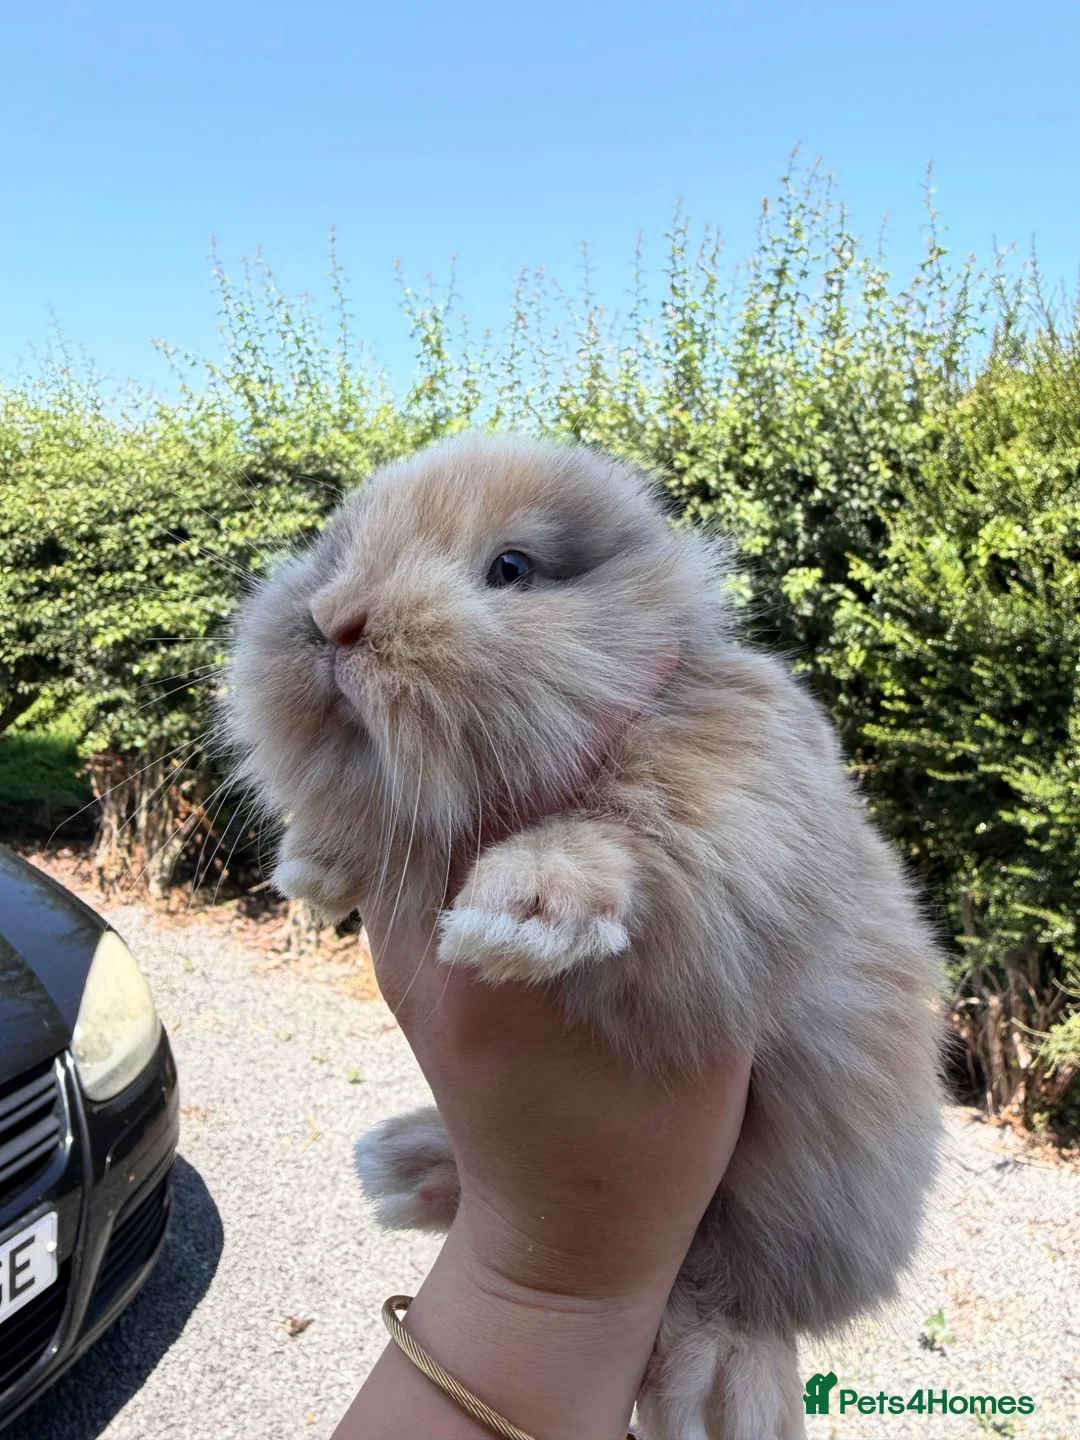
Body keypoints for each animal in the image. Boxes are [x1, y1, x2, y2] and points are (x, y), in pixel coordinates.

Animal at [224, 432, 943, 1440]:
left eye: (511, 569)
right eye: (333, 553)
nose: (334, 620)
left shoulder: (729, 800)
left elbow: (628, 831)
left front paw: (514, 913)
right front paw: (313, 871)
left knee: (729, 1306)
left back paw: (716, 1391)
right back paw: (402, 1169)